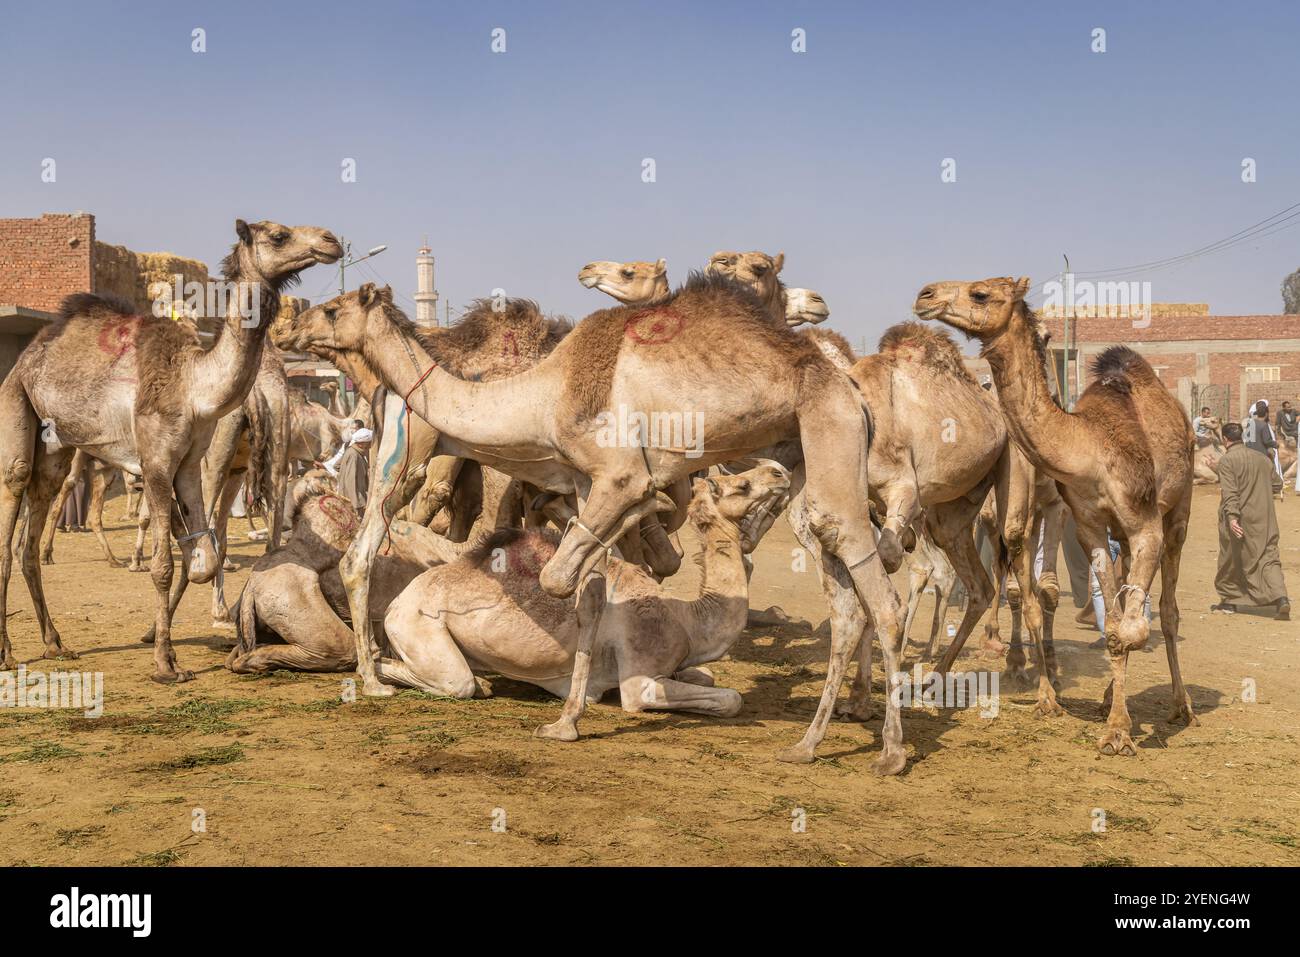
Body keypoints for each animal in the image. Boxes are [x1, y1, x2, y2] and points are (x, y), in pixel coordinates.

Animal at [0, 218, 340, 681]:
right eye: (278, 235)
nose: (331, 241)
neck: (195, 385)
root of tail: (30, 352)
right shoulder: (157, 462)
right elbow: (163, 565)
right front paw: (165, 662)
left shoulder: (190, 463)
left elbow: (203, 557)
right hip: (16, 403)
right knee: (13, 500)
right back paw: (7, 652)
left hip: (55, 446)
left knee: (30, 536)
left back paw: (55, 644)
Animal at [379, 460, 790, 712]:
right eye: (742, 485)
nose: (780, 470)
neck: (688, 619)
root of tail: (400, 598)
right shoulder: (640, 677)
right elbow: (731, 698)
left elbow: (708, 676)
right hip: (417, 623)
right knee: (452, 680)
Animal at [915, 274, 1196, 754]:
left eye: (980, 293)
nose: (925, 295)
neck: (1088, 446)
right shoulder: (1090, 525)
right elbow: (1116, 626)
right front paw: (1115, 722)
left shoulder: (1143, 524)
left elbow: (1133, 627)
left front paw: (1119, 730)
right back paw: (1107, 696)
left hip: (1179, 509)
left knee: (1169, 609)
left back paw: (1182, 706)